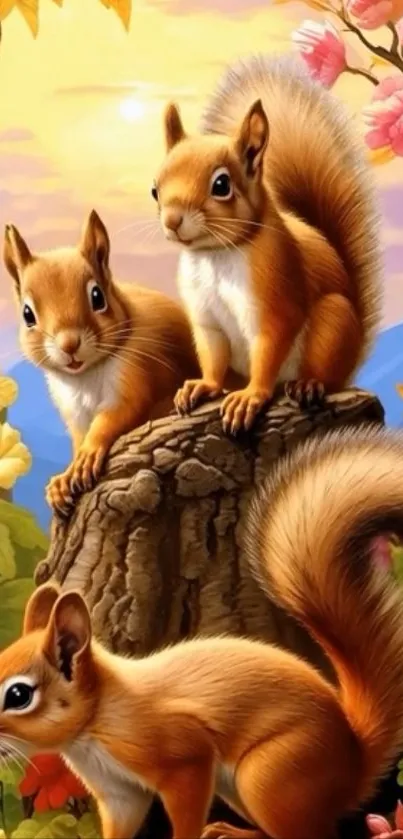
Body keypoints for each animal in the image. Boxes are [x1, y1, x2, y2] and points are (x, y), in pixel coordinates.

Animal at [0, 425, 403, 839]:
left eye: (18, 695)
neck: (96, 719)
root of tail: (354, 762)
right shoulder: (119, 793)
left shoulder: (182, 755)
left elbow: (188, 799)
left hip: (272, 772)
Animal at [3, 210, 199, 515]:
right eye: (27, 314)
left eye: (97, 297)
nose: (69, 345)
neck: (85, 376)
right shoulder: (74, 412)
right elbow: (79, 435)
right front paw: (63, 479)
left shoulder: (136, 369)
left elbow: (116, 415)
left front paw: (86, 456)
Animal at [152, 53, 383, 434]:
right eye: (155, 188)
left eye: (221, 185)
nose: (172, 221)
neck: (215, 255)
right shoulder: (206, 318)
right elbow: (212, 354)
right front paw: (204, 386)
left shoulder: (276, 292)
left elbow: (269, 345)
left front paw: (250, 397)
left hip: (332, 323)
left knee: (328, 375)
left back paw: (308, 384)